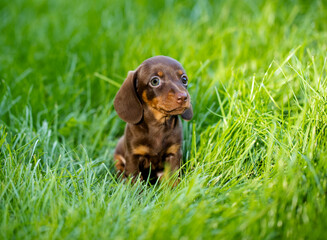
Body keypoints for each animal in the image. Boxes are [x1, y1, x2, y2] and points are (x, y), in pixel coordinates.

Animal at [114, 55, 193, 184]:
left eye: (184, 79)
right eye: (155, 81)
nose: (183, 97)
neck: (158, 125)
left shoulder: (174, 154)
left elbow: (173, 178)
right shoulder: (133, 156)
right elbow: (134, 179)